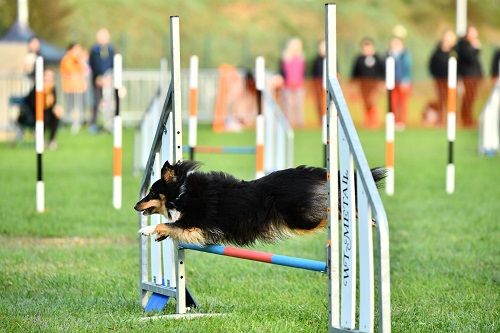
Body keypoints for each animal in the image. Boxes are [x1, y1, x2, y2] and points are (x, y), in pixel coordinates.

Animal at [135, 160, 384, 245]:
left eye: (152, 192)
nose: (135, 205)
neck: (182, 192)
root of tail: (316, 173)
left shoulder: (199, 224)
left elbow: (167, 223)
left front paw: (146, 230)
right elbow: (171, 226)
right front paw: (159, 234)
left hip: (300, 218)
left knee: (334, 211)